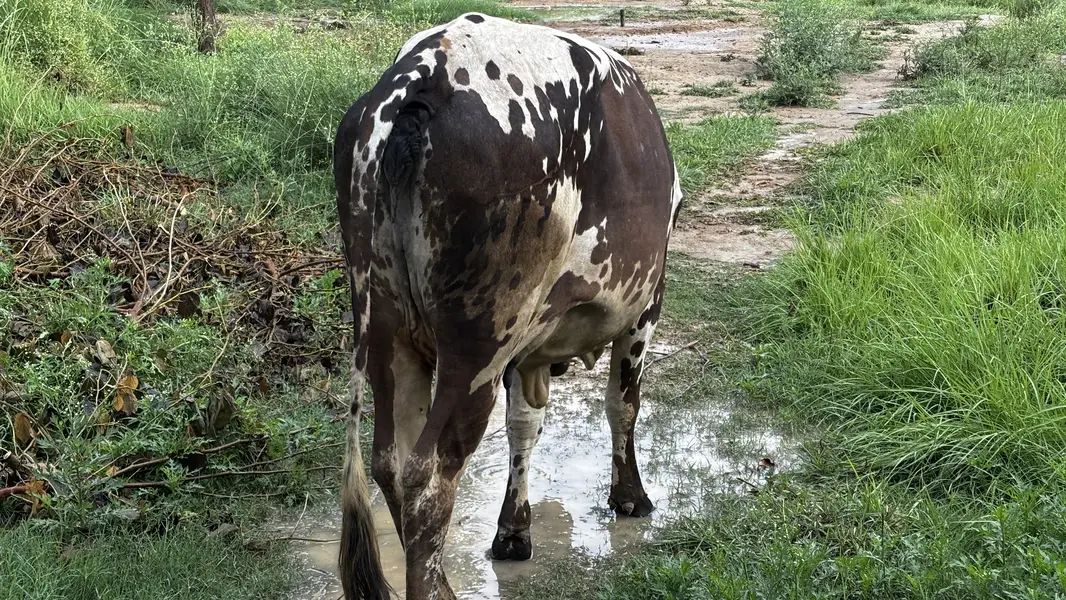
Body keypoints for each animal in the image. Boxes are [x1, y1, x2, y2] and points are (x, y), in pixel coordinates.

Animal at [333, 12, 682, 600]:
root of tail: (423, 74)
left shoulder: (528, 344)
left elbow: (524, 424)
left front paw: (513, 531)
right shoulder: (643, 306)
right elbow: (622, 405)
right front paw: (630, 497)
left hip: (385, 327)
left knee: (390, 462)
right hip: (478, 344)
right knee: (428, 474)